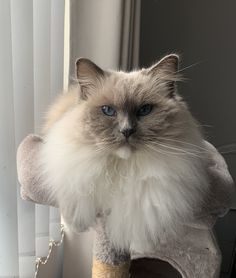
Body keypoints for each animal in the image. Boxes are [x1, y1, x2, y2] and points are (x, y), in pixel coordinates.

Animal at [38, 55, 208, 251]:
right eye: (108, 111)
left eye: (145, 110)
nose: (126, 131)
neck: (123, 168)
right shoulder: (72, 171)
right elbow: (75, 200)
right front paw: (77, 226)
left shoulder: (150, 200)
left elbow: (140, 224)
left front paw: (141, 248)